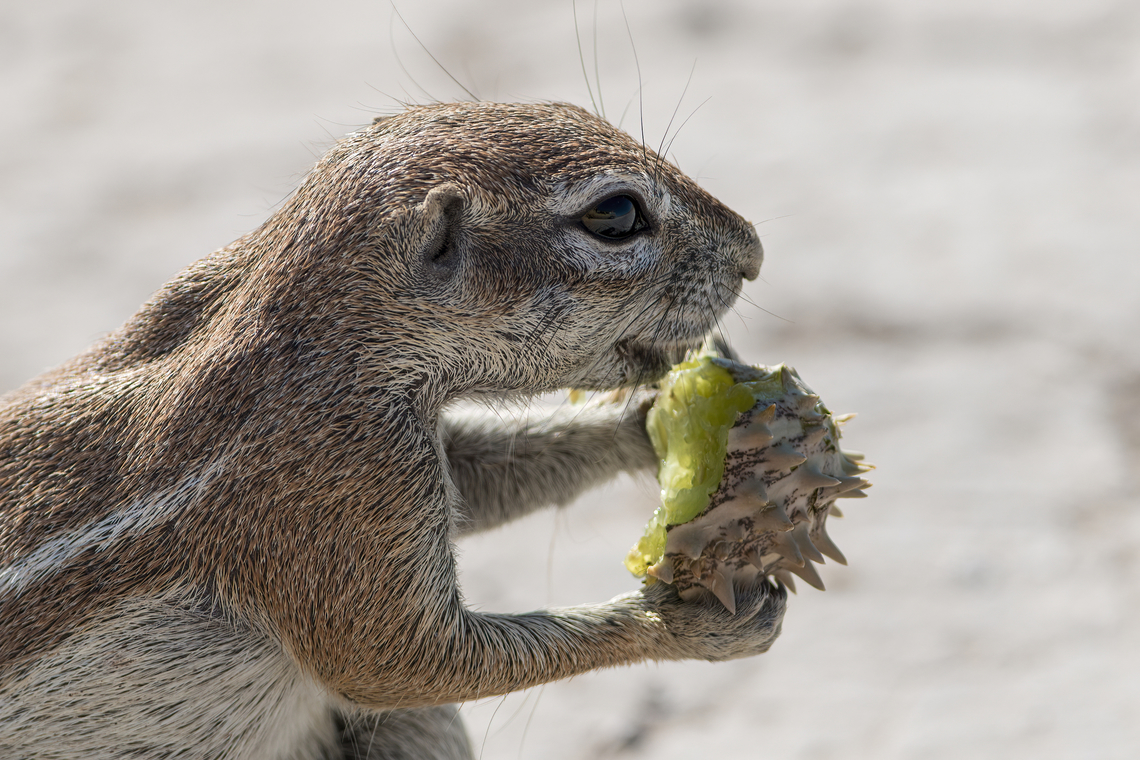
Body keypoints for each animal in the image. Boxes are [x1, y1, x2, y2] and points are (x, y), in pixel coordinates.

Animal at [0, 101, 784, 759]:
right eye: (616, 213)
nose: (754, 251)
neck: (310, 337)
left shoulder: (404, 463)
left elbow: (473, 478)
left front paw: (659, 418)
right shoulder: (340, 480)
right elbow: (398, 661)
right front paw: (688, 621)